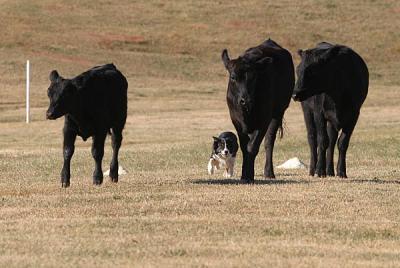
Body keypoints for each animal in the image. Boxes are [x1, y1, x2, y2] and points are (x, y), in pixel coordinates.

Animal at [220, 39, 296, 182]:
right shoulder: (236, 120)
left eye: (253, 77)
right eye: (233, 77)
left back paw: (269, 172)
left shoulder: (263, 120)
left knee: (269, 142)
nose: (245, 100)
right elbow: (245, 147)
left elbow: (252, 146)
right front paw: (244, 175)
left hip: (278, 113)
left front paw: (248, 175)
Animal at [290, 42, 368, 178]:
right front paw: (320, 171)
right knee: (312, 138)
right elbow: (322, 141)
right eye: (298, 70)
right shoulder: (319, 113)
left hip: (332, 121)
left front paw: (341, 171)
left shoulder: (354, 115)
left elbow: (342, 142)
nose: (295, 94)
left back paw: (330, 171)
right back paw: (313, 169)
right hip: (307, 111)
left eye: (311, 71)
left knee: (332, 141)